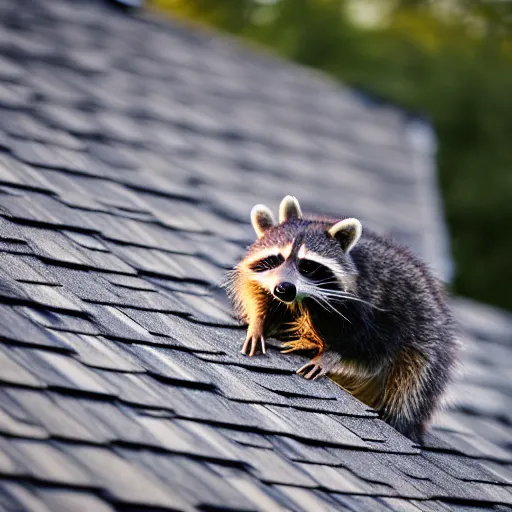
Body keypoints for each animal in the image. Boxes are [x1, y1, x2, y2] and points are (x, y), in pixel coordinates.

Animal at [228, 194, 460, 442]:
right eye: (276, 258)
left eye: (307, 266)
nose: (284, 288)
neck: (304, 298)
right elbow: (261, 296)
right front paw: (258, 323)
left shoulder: (370, 302)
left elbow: (361, 339)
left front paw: (331, 354)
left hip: (423, 346)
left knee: (409, 388)